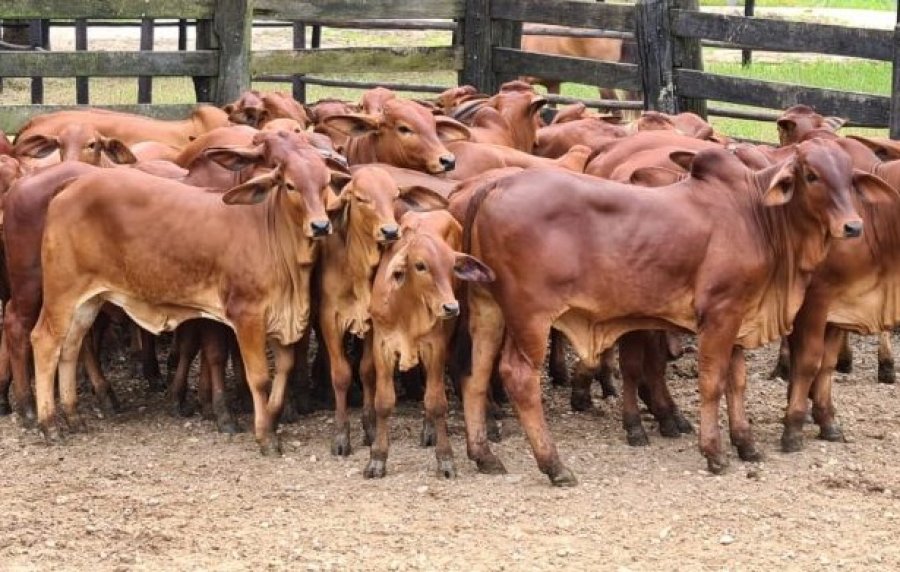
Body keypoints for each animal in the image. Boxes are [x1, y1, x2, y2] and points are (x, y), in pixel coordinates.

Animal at [29, 131, 338, 456]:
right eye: (290, 184)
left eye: (326, 181)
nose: (320, 225)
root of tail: (71, 184)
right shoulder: (247, 316)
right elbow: (260, 379)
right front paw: (265, 436)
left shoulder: (284, 317)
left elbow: (284, 372)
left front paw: (274, 419)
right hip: (62, 291)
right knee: (45, 342)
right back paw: (49, 425)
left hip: (88, 301)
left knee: (71, 347)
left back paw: (74, 417)